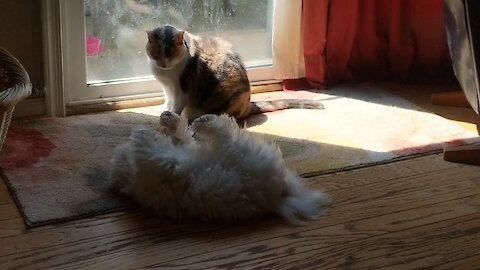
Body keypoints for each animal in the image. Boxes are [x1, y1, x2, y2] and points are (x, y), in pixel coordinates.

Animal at [110, 110, 332, 225]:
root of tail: (282, 195)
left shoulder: (174, 155)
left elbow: (181, 137)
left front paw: (168, 122)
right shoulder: (164, 167)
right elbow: (152, 148)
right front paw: (143, 133)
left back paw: (203, 121)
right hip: (243, 158)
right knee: (225, 135)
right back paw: (207, 121)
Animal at [146, 24, 324, 122]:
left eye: (170, 54)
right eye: (156, 54)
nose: (163, 63)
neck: (166, 74)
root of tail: (248, 105)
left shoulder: (181, 89)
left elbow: (176, 105)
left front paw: (171, 116)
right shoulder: (167, 88)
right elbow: (168, 100)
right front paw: (162, 110)